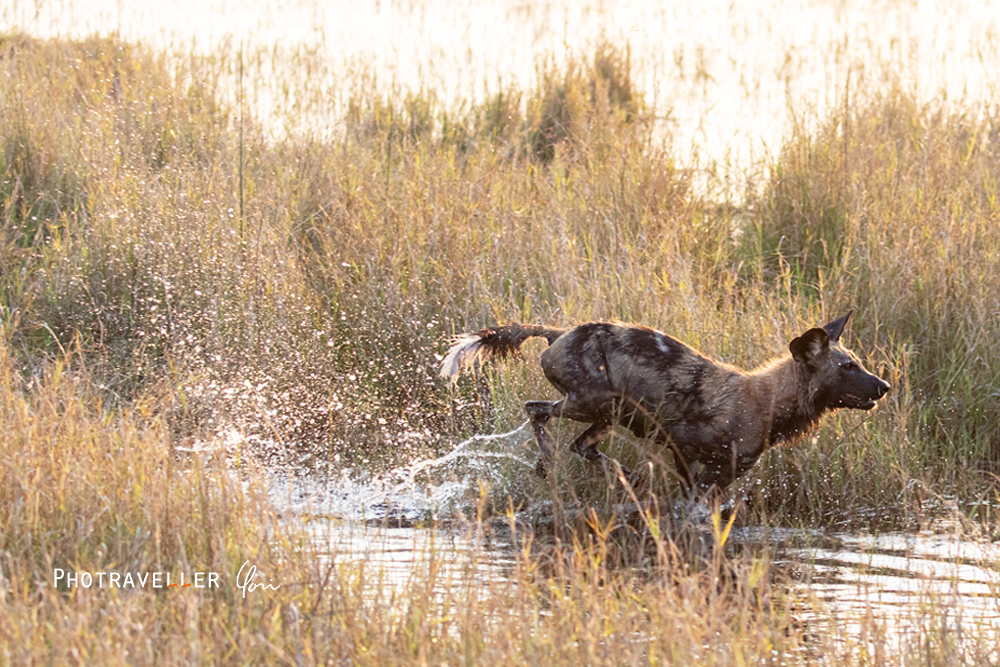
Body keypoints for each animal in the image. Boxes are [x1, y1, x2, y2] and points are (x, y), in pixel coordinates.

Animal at [440, 314, 892, 496]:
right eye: (849, 367)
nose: (885, 386)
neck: (768, 401)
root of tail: (559, 332)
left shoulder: (722, 472)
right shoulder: (685, 451)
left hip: (607, 413)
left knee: (579, 444)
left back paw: (621, 476)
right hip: (590, 403)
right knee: (536, 411)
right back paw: (548, 463)